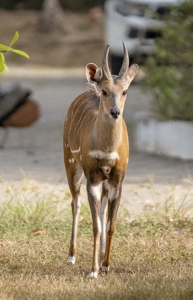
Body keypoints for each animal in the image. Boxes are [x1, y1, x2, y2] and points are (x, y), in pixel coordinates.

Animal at [63, 42, 139, 278]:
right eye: (105, 91)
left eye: (124, 91)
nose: (115, 112)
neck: (107, 150)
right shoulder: (93, 178)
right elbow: (96, 225)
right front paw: (94, 270)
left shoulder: (117, 180)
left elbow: (110, 224)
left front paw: (106, 265)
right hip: (71, 163)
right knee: (75, 203)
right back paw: (71, 256)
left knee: (103, 211)